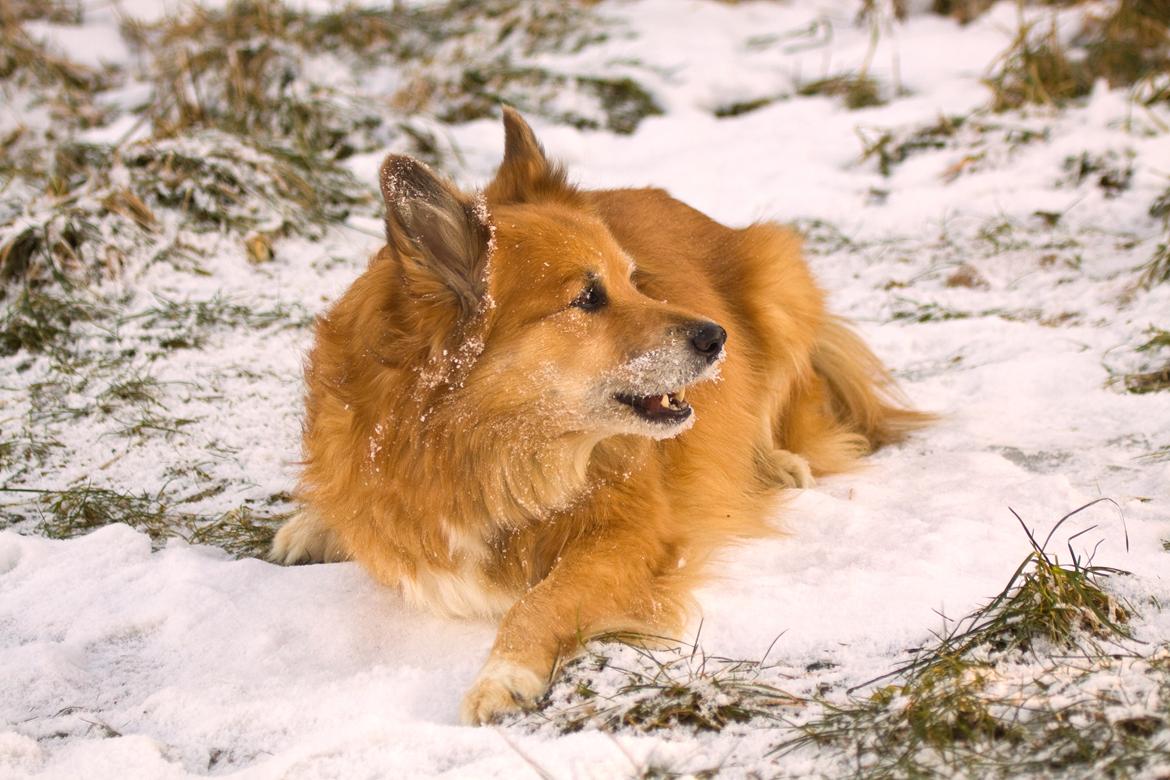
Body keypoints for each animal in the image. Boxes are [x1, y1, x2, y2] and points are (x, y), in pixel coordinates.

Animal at [269, 107, 926, 725]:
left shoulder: (631, 535)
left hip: (779, 280)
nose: (718, 337)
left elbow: (540, 600)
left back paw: (779, 462)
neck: (477, 445)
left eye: (636, 282)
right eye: (588, 298)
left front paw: (503, 674)